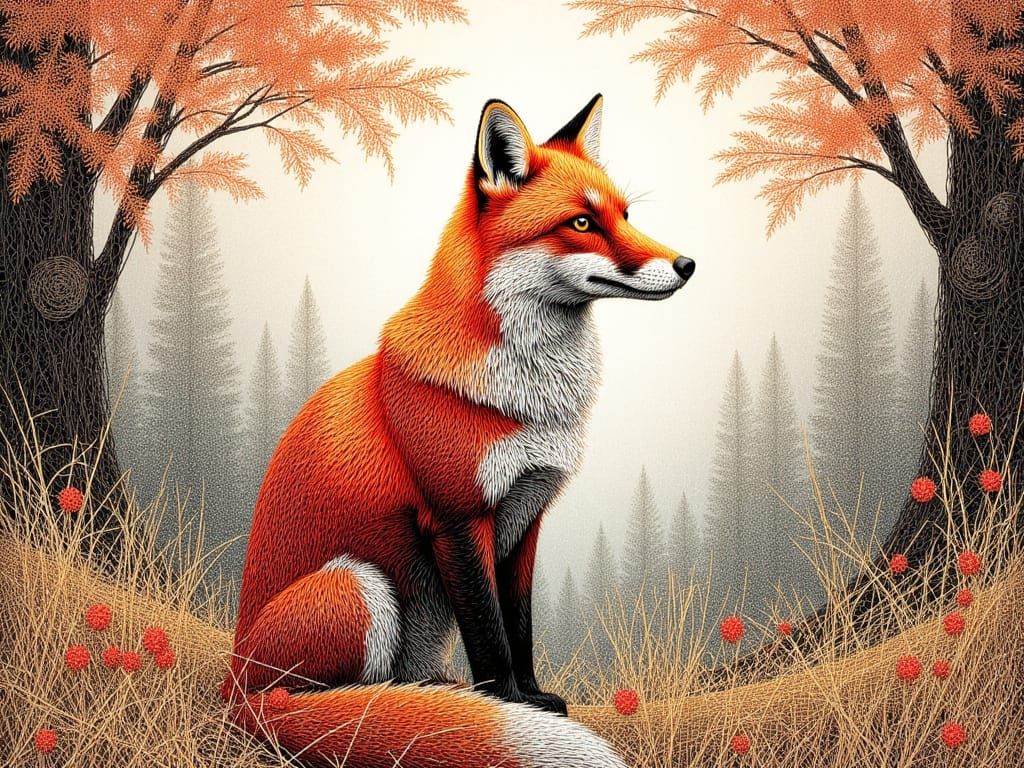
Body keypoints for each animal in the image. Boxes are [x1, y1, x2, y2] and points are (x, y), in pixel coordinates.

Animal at [225, 94, 695, 768]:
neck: (530, 401)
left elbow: (518, 626)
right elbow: (489, 633)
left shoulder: (525, 517)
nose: (687, 264)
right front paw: (509, 706)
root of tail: (231, 686)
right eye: (581, 223)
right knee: (318, 701)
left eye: (626, 215)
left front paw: (532, 696)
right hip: (359, 586)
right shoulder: (457, 517)